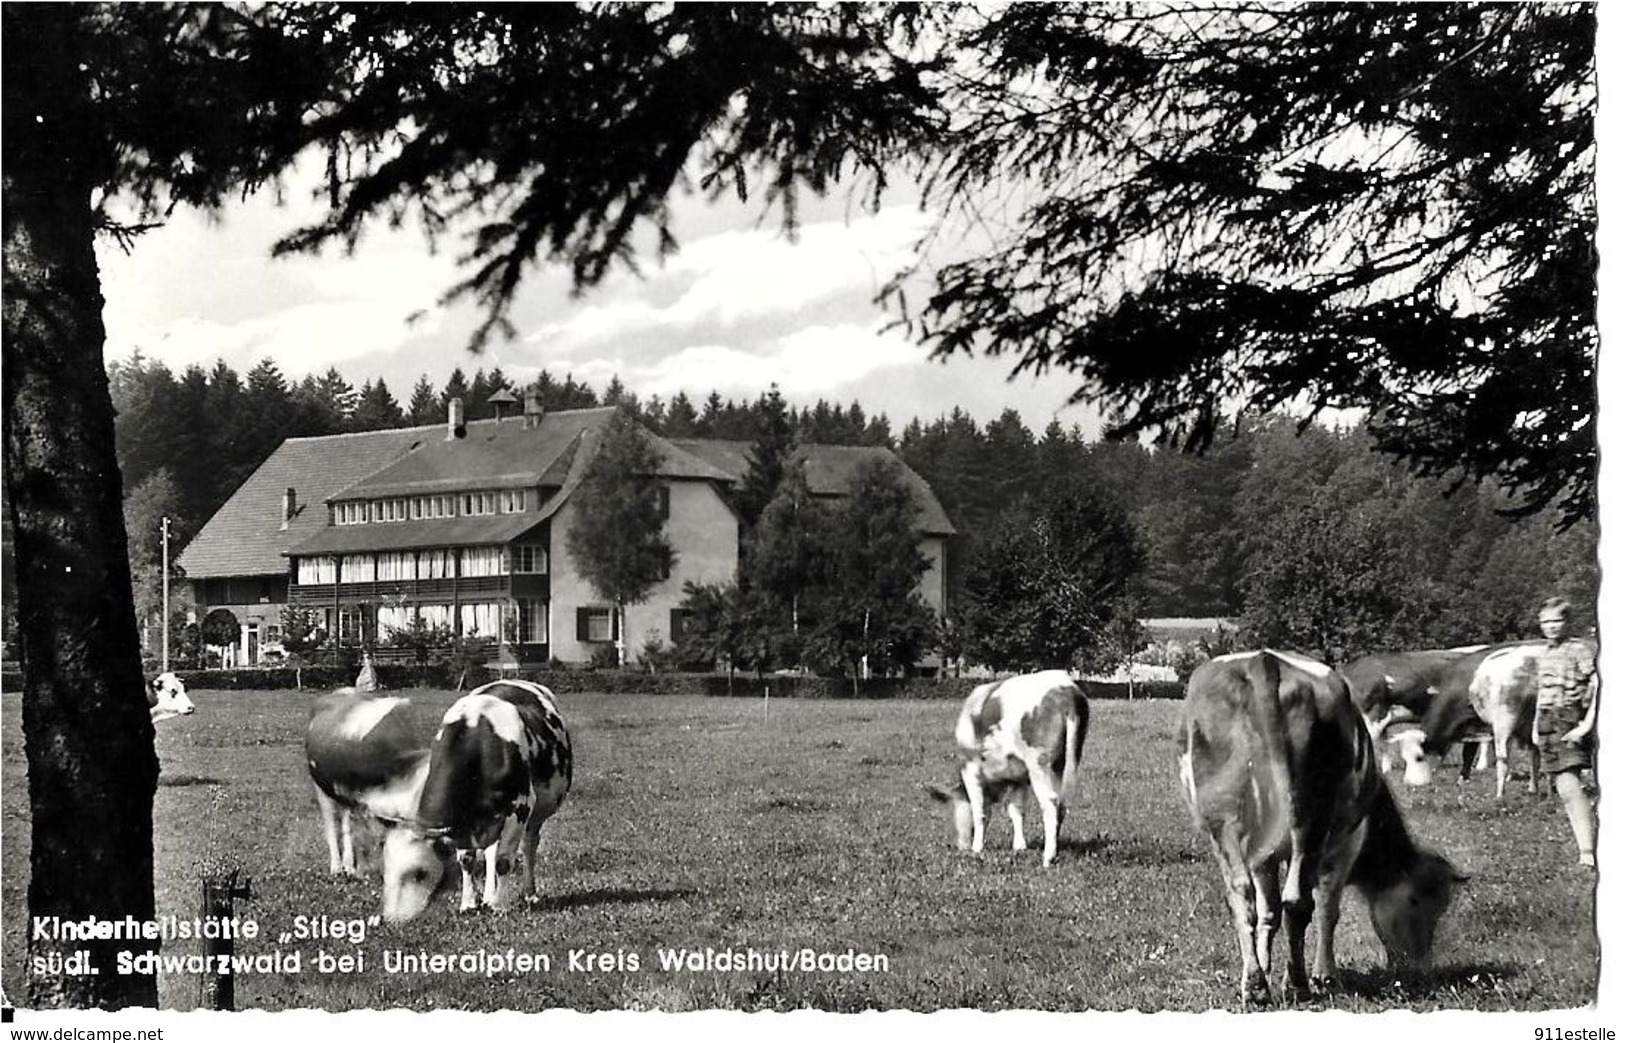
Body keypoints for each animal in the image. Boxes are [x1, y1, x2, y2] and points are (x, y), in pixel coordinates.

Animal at [302, 688, 445, 916]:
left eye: (420, 873)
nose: (397, 916)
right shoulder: (364, 803)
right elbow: (363, 837)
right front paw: (362, 870)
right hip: (321, 786)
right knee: (332, 824)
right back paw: (337, 866)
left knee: (345, 823)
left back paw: (347, 864)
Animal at [409, 675, 575, 909]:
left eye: (420, 872)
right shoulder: (463, 823)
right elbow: (467, 859)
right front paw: (469, 903)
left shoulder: (520, 805)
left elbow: (503, 861)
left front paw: (500, 906)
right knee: (491, 849)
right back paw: (488, 896)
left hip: (537, 812)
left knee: (528, 846)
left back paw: (528, 893)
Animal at [929, 669, 1092, 864]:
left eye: (951, 811)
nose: (961, 847)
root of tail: (1067, 688)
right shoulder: (1018, 778)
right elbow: (1016, 811)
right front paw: (1019, 846)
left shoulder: (970, 767)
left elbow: (980, 811)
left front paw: (977, 849)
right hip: (1062, 763)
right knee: (1061, 804)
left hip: (1039, 762)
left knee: (1051, 803)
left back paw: (1048, 857)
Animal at [1183, 646, 1462, 1000]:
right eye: (1418, 901)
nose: (1420, 967)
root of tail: (1264, 661)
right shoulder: (1346, 841)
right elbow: (1328, 908)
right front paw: (1324, 975)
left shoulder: (1261, 855)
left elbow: (1268, 911)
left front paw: (1264, 967)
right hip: (1311, 818)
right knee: (1298, 902)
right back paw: (1298, 984)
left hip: (1224, 823)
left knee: (1242, 898)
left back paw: (1256, 986)